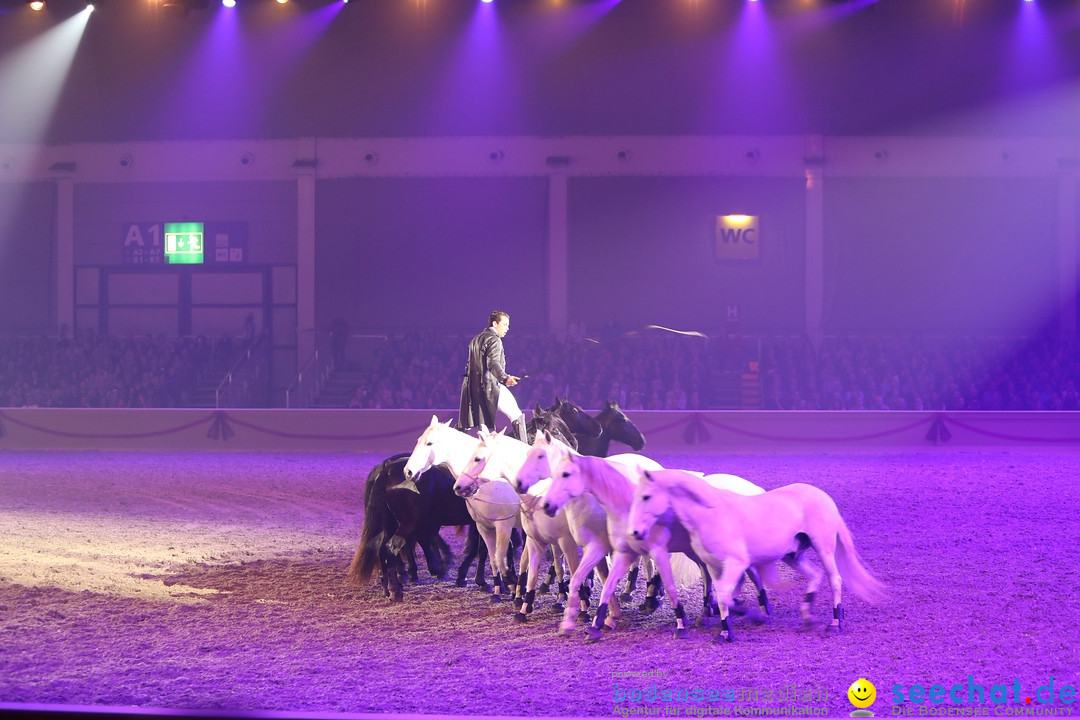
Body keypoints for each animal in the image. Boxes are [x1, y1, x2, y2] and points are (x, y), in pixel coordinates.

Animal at [544, 455, 773, 643]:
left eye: (566, 474)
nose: (547, 505)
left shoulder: (654, 552)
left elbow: (669, 587)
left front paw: (680, 626)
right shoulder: (622, 553)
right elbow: (602, 585)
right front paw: (590, 626)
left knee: (750, 572)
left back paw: (762, 610)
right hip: (696, 552)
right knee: (710, 576)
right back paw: (707, 612)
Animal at [626, 470, 885, 643]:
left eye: (646, 497)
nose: (634, 532)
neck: (710, 514)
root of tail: (824, 497)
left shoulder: (735, 563)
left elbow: (724, 595)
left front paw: (726, 632)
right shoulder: (714, 566)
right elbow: (723, 596)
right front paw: (744, 619)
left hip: (824, 547)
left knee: (835, 579)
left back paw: (835, 622)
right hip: (793, 555)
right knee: (815, 575)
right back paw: (807, 616)